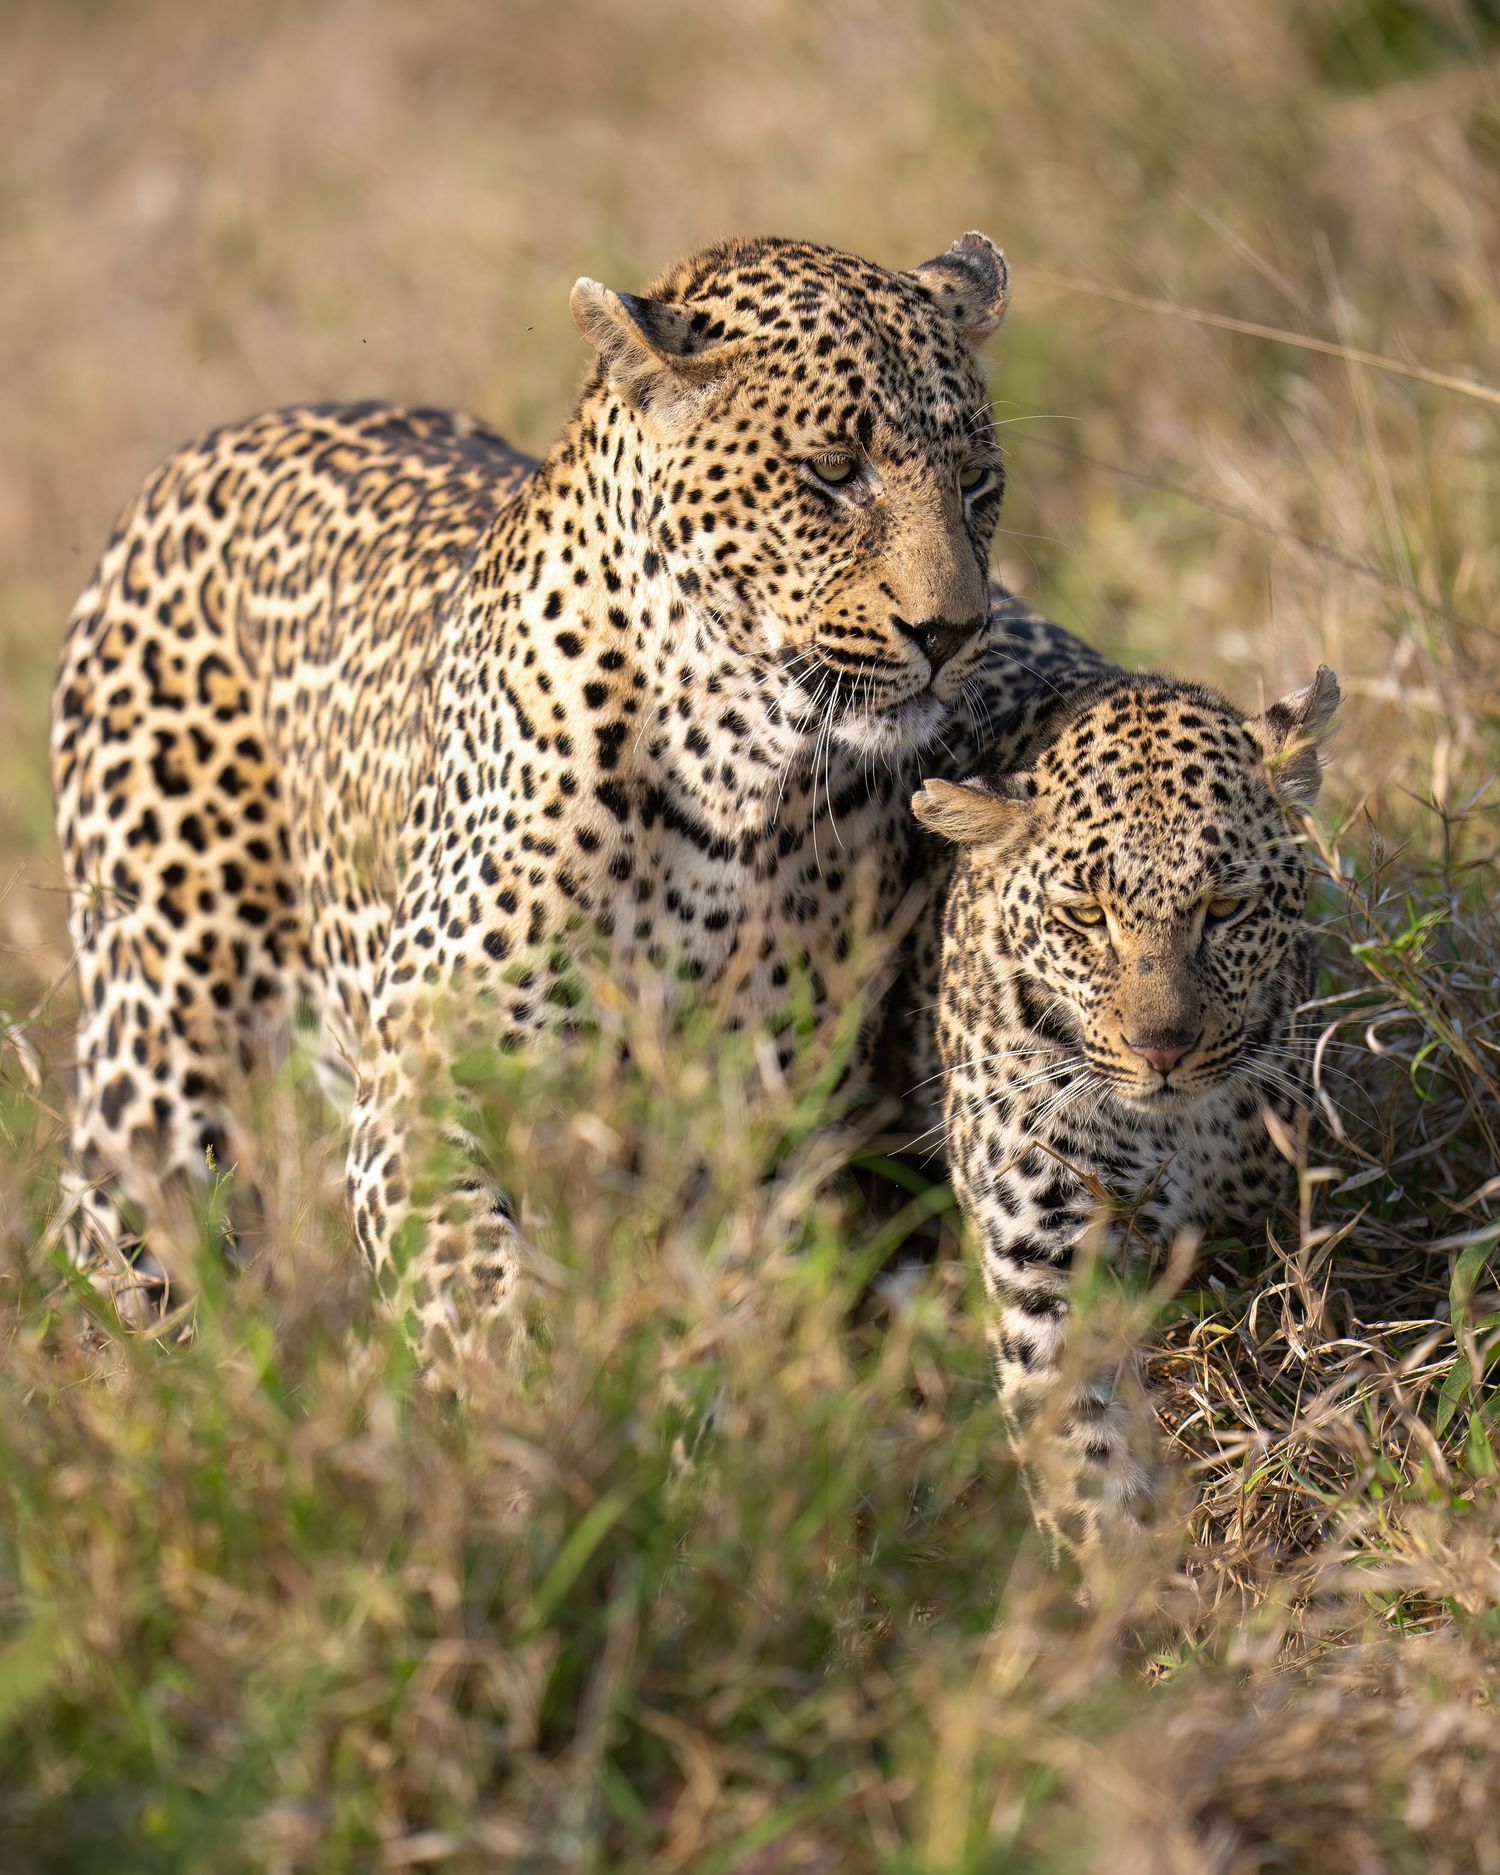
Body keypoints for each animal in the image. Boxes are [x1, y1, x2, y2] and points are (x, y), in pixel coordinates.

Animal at [50, 229, 1099, 1358]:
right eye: (831, 472)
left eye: (978, 481)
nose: (952, 632)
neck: (732, 766)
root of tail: (219, 440)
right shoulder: (423, 1081)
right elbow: (469, 1281)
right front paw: (515, 1381)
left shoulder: (763, 1127)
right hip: (164, 1029)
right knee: (122, 1221)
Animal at [913, 661, 1341, 1563]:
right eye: (1085, 915)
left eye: (1226, 909)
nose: (1162, 1049)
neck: (1166, 1128)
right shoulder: (1046, 1266)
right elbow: (1087, 1465)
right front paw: (1131, 1585)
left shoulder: (1257, 1231)